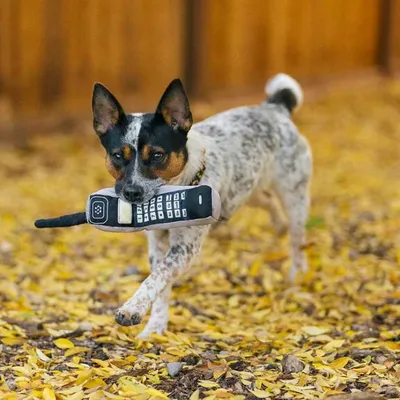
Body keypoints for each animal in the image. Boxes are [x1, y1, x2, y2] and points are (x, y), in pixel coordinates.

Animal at [91, 72, 312, 338]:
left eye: (157, 155)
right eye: (117, 156)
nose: (132, 192)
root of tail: (274, 108)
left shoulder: (184, 249)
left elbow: (156, 277)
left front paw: (132, 308)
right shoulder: (158, 244)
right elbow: (160, 284)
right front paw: (156, 327)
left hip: (295, 197)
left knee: (297, 241)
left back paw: (297, 274)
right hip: (248, 188)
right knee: (267, 202)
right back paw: (278, 224)